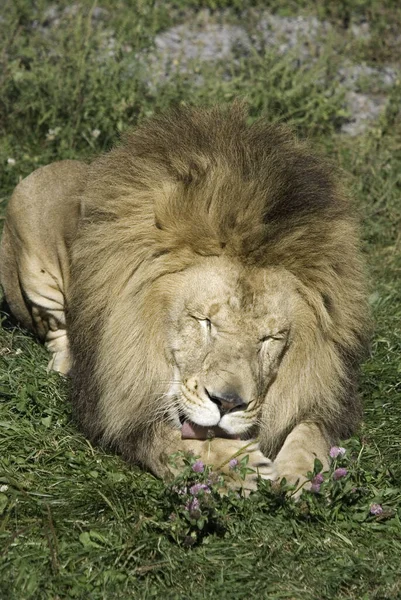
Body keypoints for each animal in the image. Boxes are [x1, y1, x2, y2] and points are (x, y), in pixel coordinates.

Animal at [0, 105, 368, 494]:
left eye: (270, 339)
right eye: (204, 322)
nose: (228, 403)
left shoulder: (327, 393)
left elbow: (312, 432)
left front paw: (302, 474)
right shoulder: (116, 408)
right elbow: (176, 441)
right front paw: (237, 467)